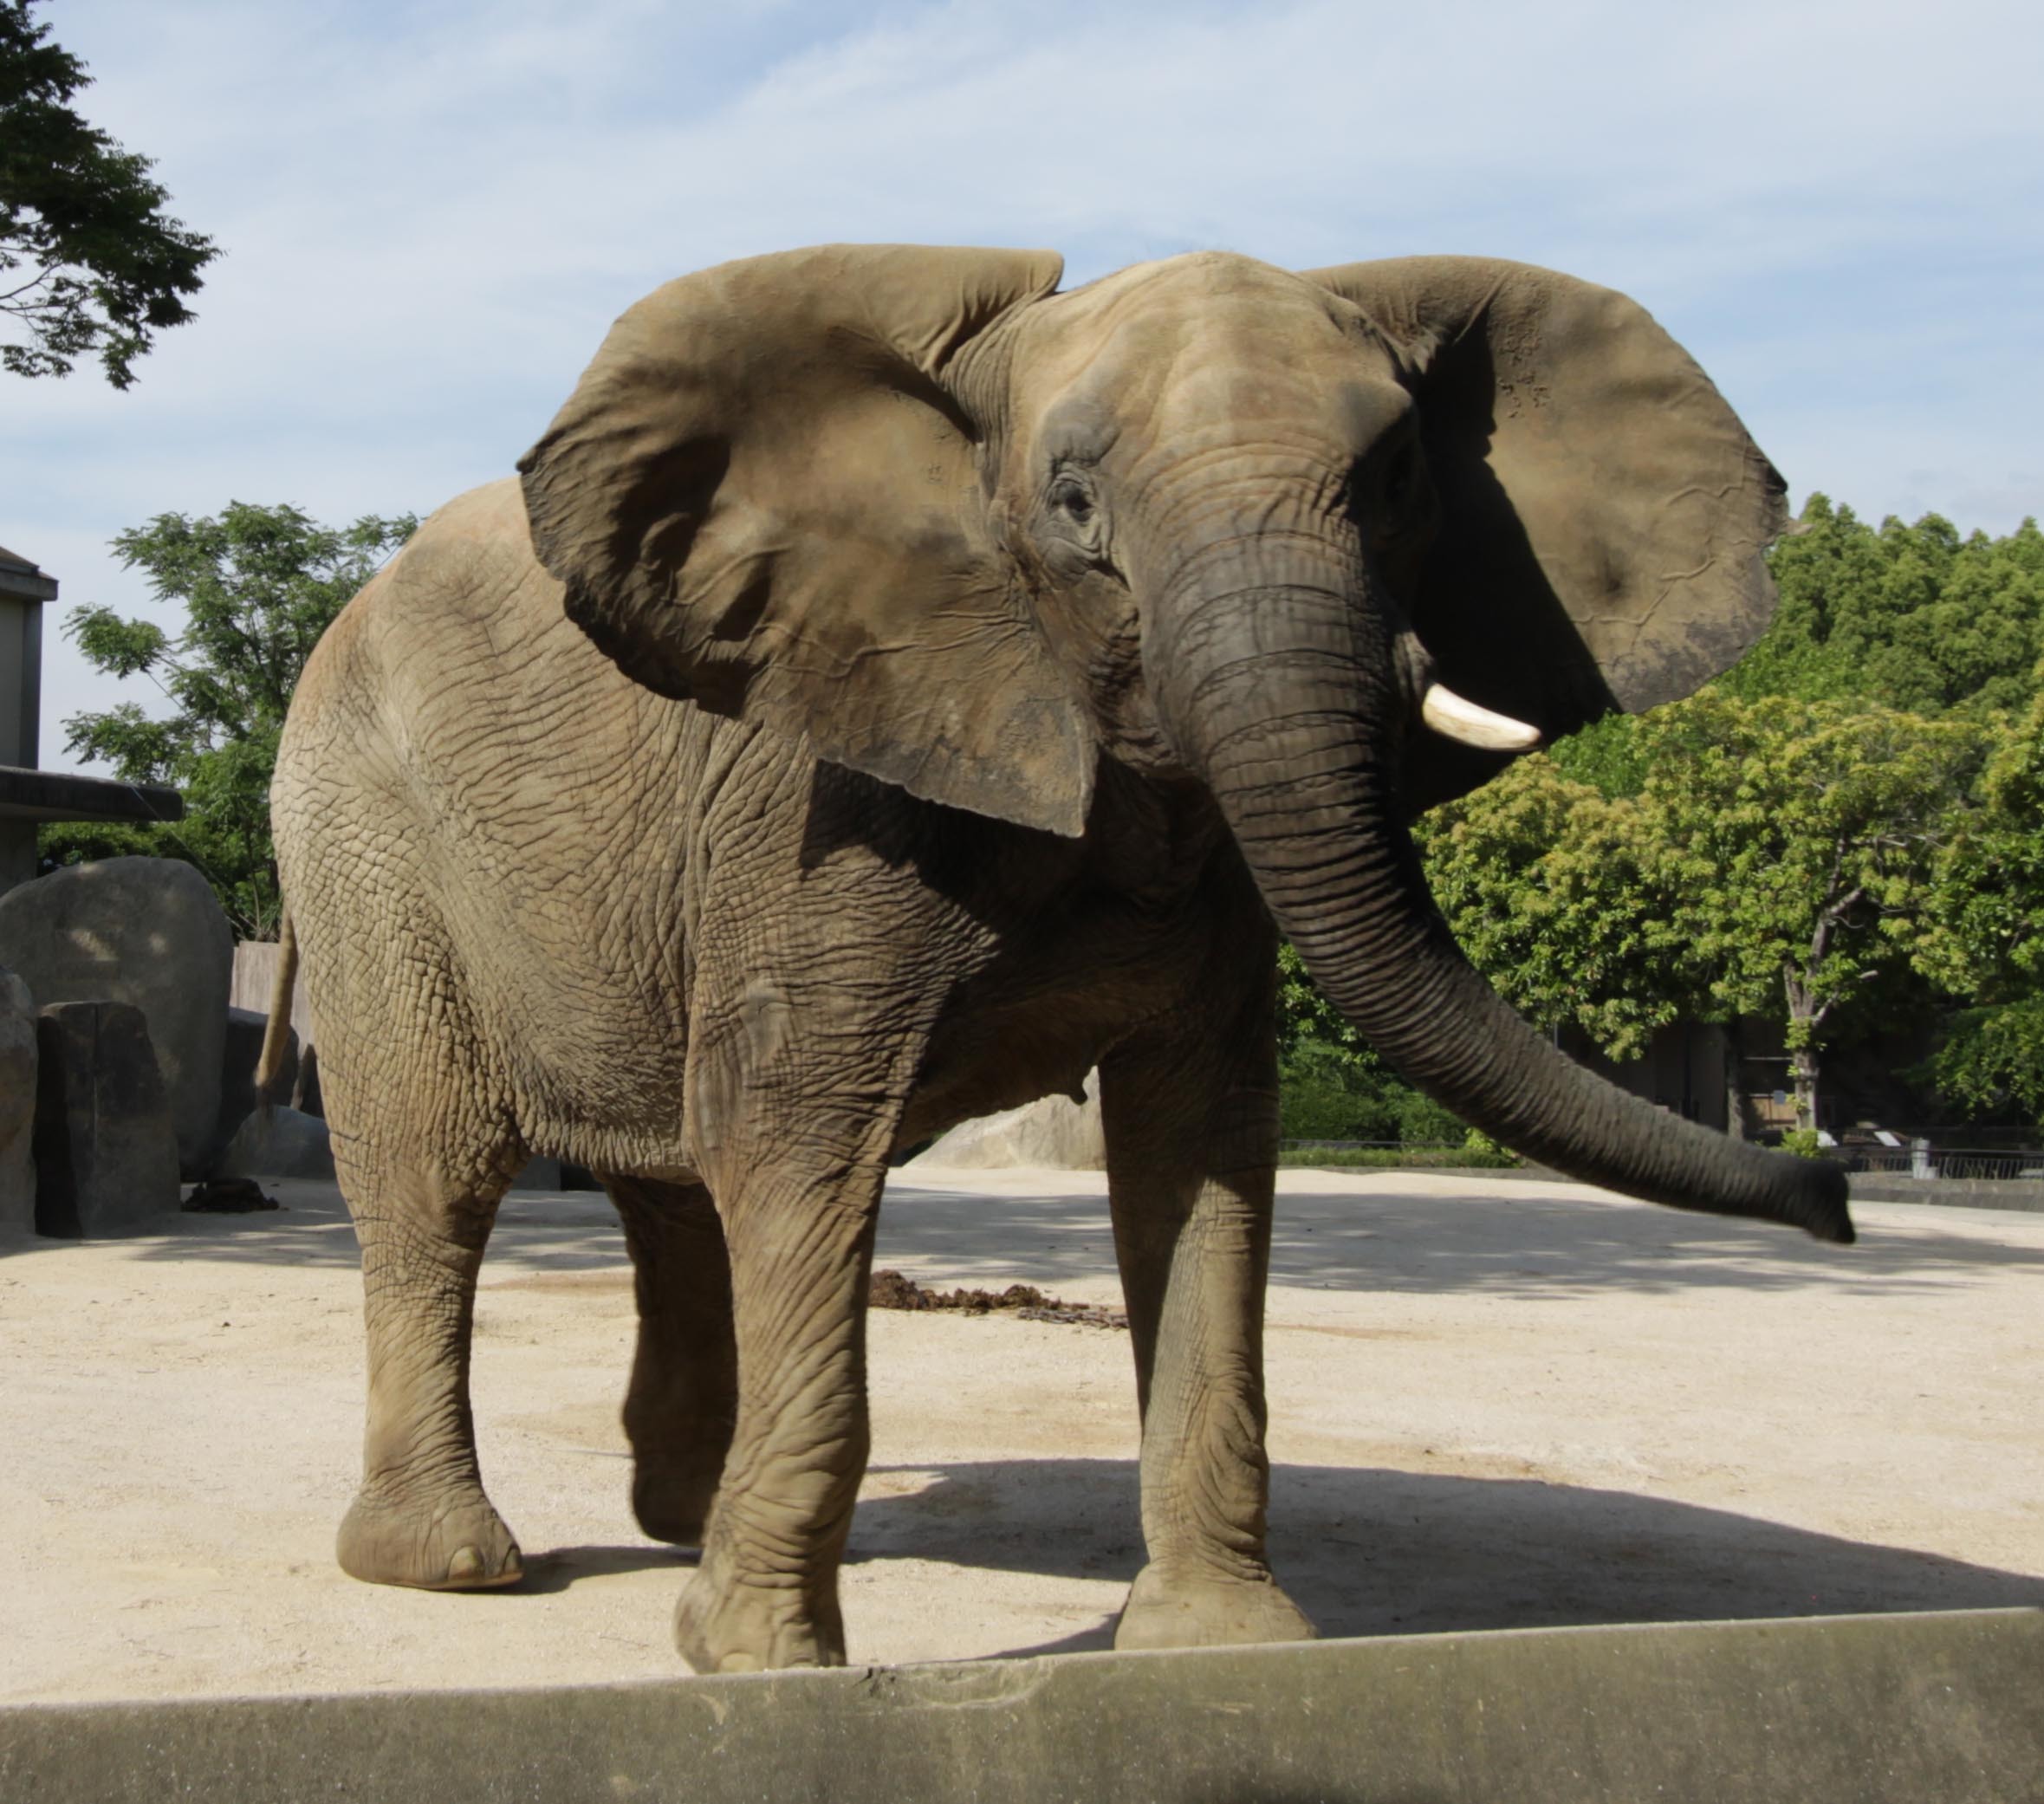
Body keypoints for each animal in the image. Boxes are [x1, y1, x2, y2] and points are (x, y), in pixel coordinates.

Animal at [263, 243, 1847, 1675]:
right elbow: (791, 1131)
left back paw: (679, 1517)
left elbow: (1196, 1155)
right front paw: (760, 1666)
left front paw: (1221, 1646)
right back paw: (454, 1566)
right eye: (1072, 501)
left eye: (1400, 480)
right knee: (437, 1169)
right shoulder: (819, 804)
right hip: (361, 838)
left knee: (664, 1181)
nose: (1831, 1186)